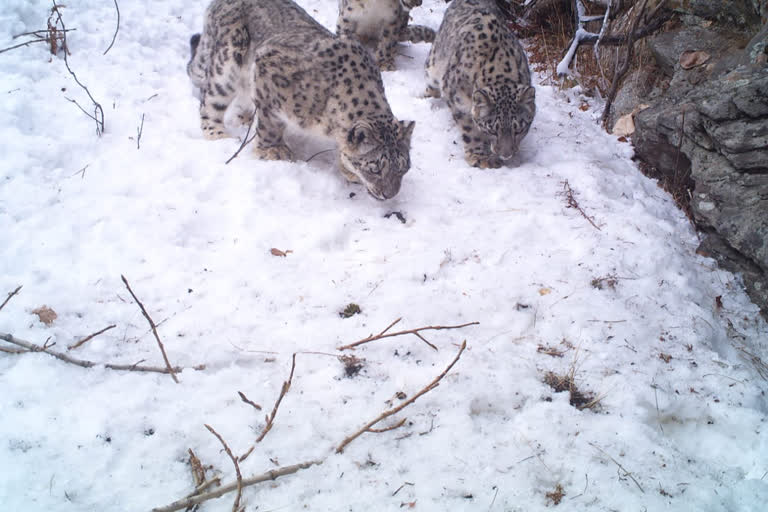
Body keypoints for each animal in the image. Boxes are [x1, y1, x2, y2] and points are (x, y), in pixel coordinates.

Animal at [188, 0, 414, 200]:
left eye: (403, 168)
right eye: (375, 169)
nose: (390, 195)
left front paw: (347, 168)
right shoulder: (268, 73)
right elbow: (270, 125)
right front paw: (272, 150)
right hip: (227, 63)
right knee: (211, 99)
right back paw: (217, 134)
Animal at [426, 0, 536, 168]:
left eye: (519, 129)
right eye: (493, 130)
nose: (506, 155)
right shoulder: (457, 100)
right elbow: (470, 130)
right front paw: (480, 156)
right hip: (434, 62)